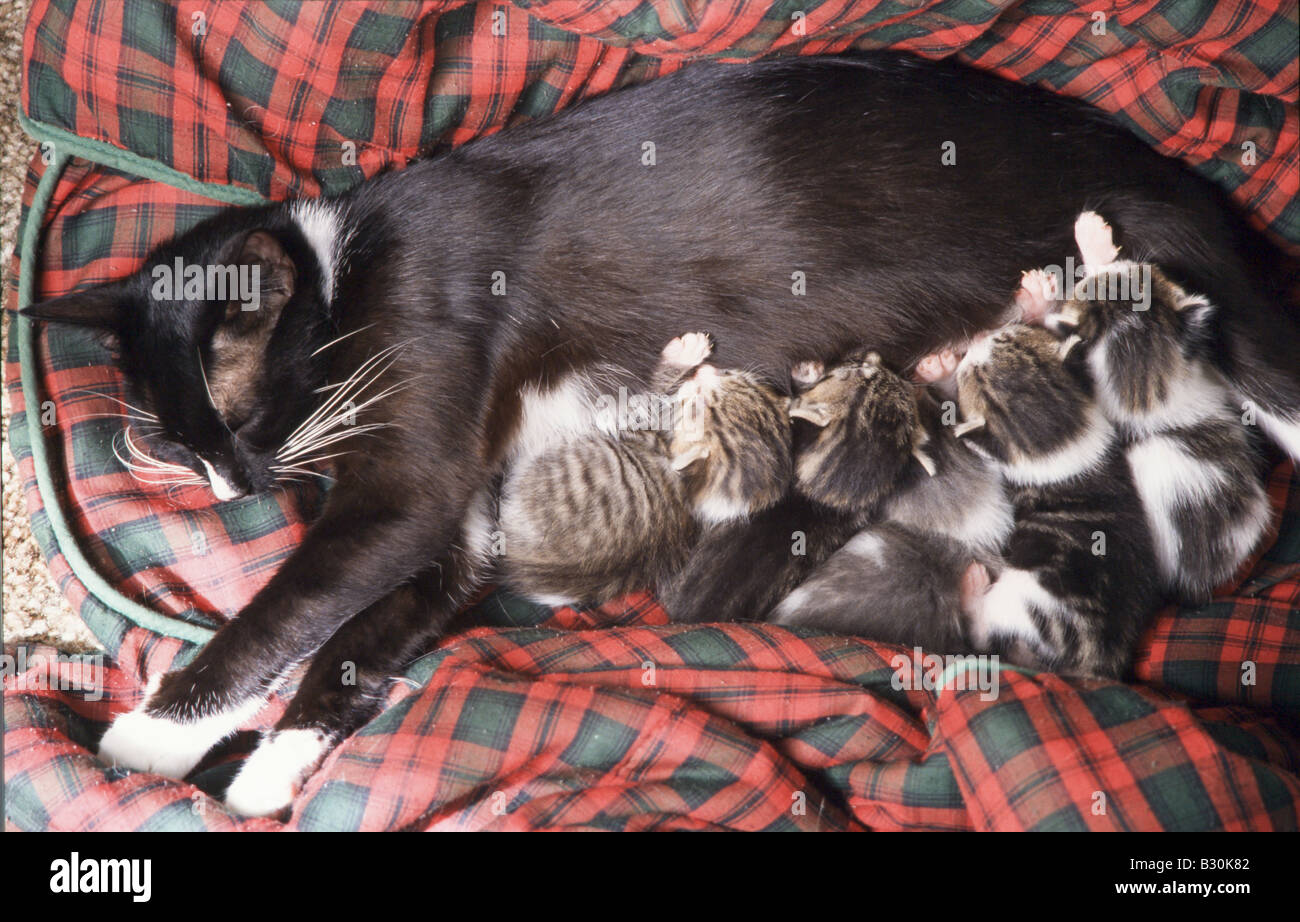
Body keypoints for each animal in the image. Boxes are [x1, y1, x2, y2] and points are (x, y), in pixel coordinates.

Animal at [493, 330, 790, 603]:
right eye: (730, 375)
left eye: (700, 401)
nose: (707, 370)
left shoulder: (630, 421)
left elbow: (642, 396)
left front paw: (680, 358)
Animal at [956, 323, 1159, 676]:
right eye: (1011, 333)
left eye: (970, 369)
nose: (979, 336)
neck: (1055, 437)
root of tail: (1094, 664)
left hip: (1019, 600)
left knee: (981, 632)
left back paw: (972, 584)